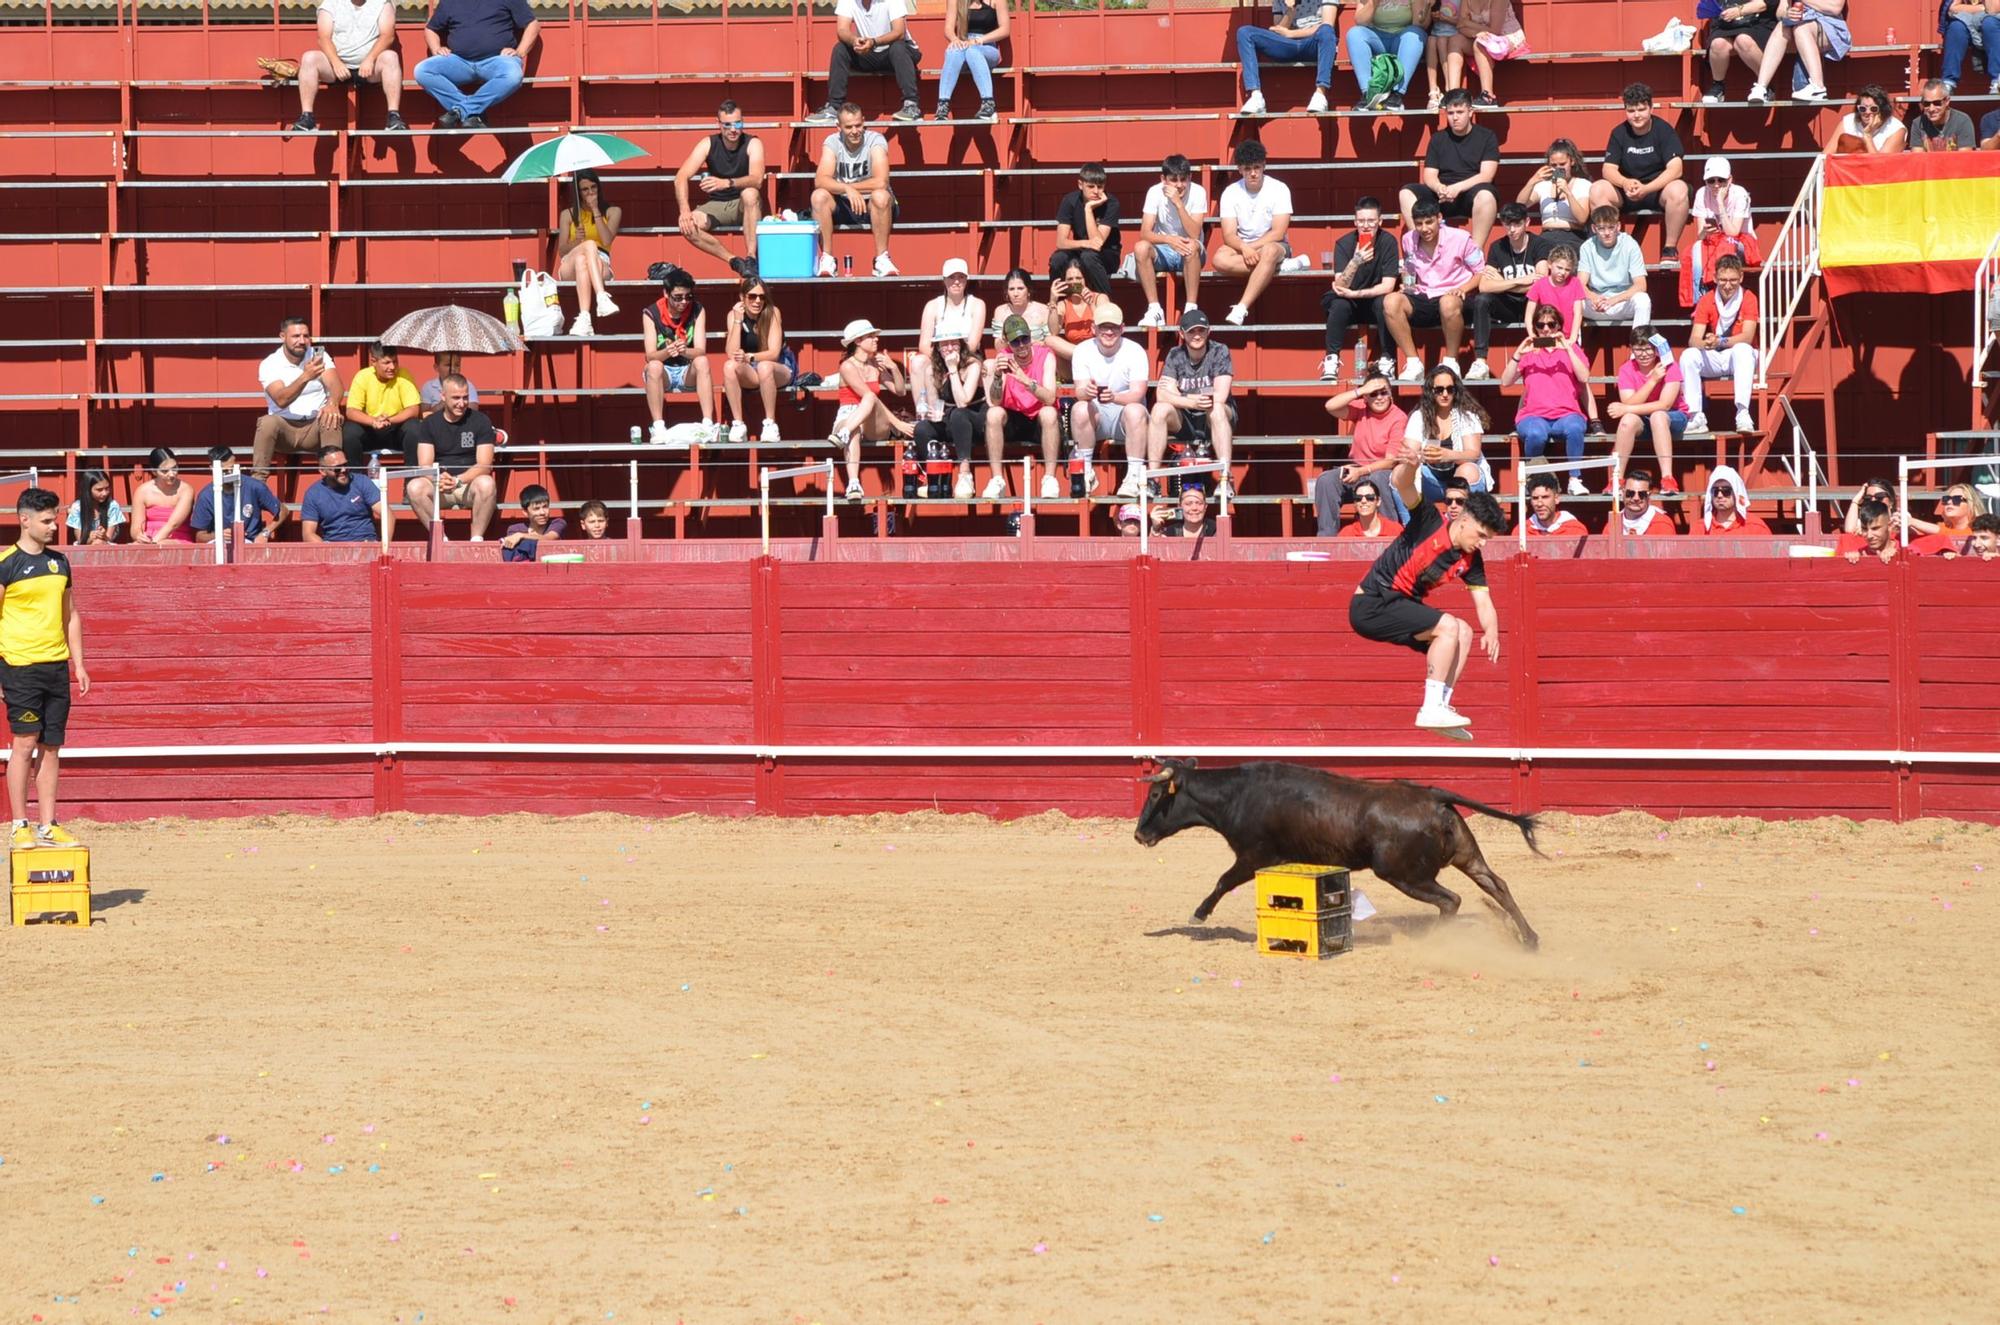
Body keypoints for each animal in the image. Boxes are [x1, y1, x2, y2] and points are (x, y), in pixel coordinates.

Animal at [1136, 756, 1536, 956]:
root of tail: (1432, 795)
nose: (1140, 834)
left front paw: (1199, 914)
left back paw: (1431, 944)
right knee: (1497, 885)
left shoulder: (1253, 856)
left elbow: (1222, 881)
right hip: (1466, 856)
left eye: (1155, 796)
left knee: (1451, 900)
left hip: (1402, 873)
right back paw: (1530, 940)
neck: (1237, 794)